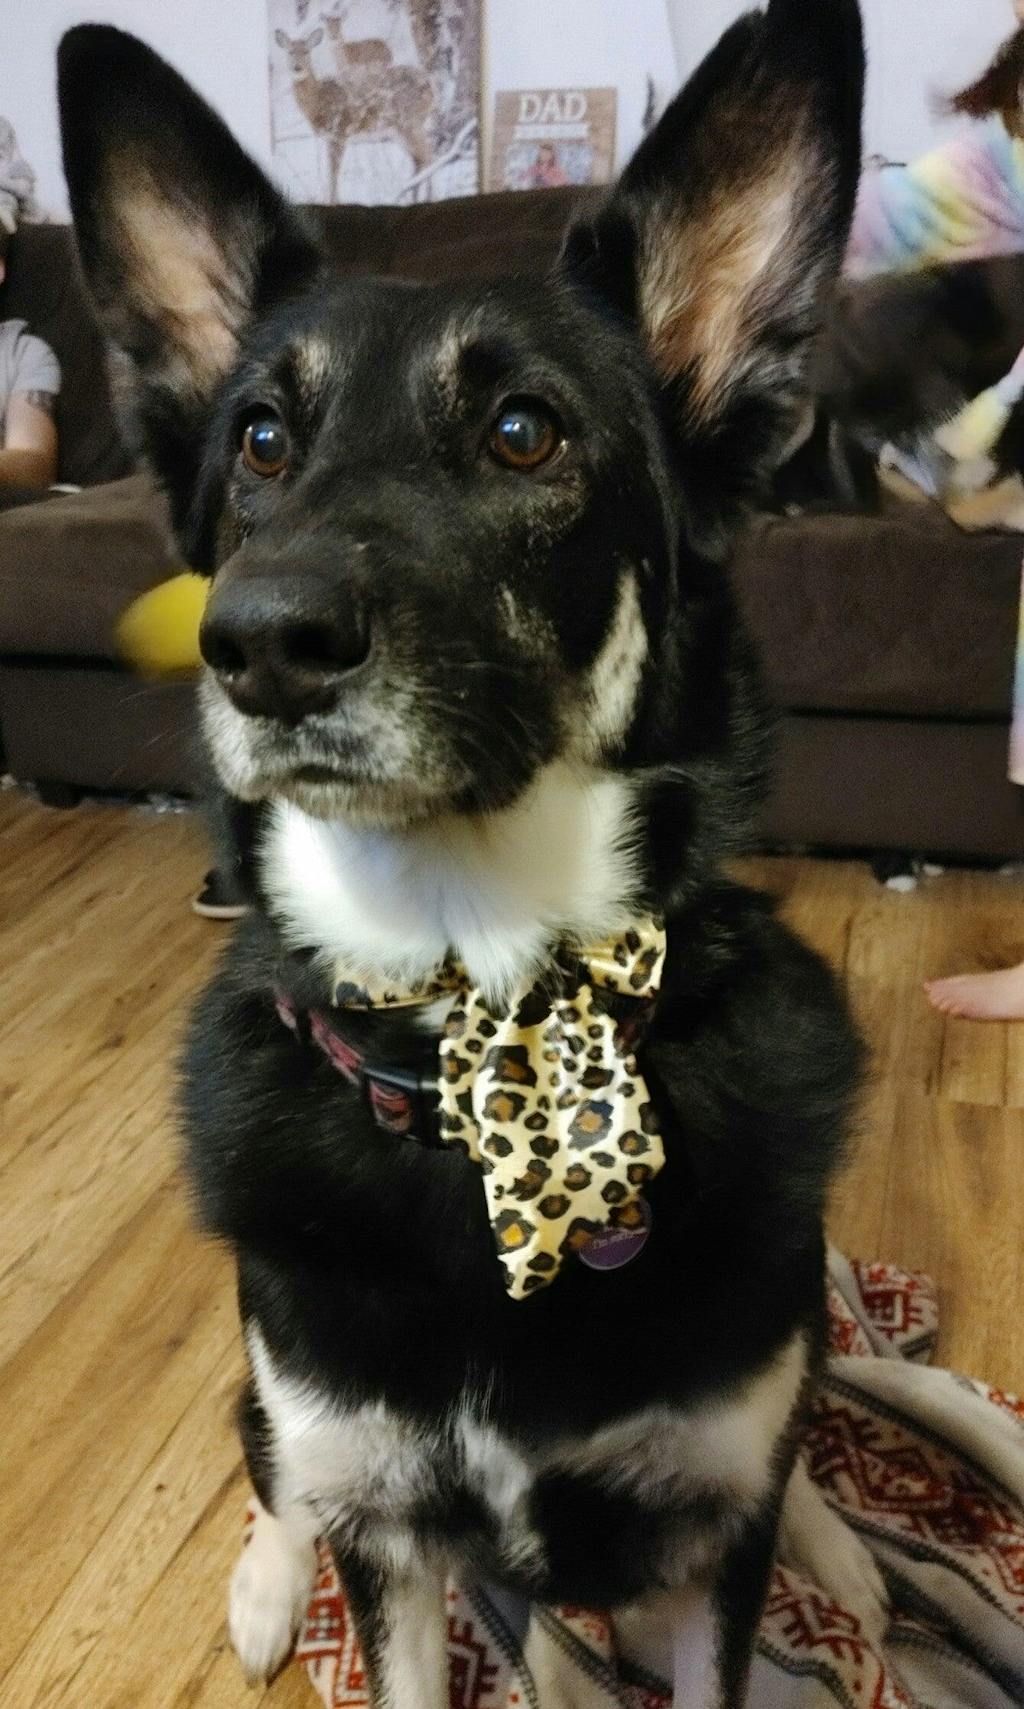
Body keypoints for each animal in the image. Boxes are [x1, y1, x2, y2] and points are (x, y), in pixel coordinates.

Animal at [59, 5, 885, 1702]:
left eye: (524, 433)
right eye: (259, 442)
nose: (259, 644)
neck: (485, 1028)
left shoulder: (708, 1549)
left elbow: (751, 1511)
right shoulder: (386, 1530)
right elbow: (363, 1564)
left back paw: (845, 1546)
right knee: (266, 1459)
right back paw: (263, 1584)